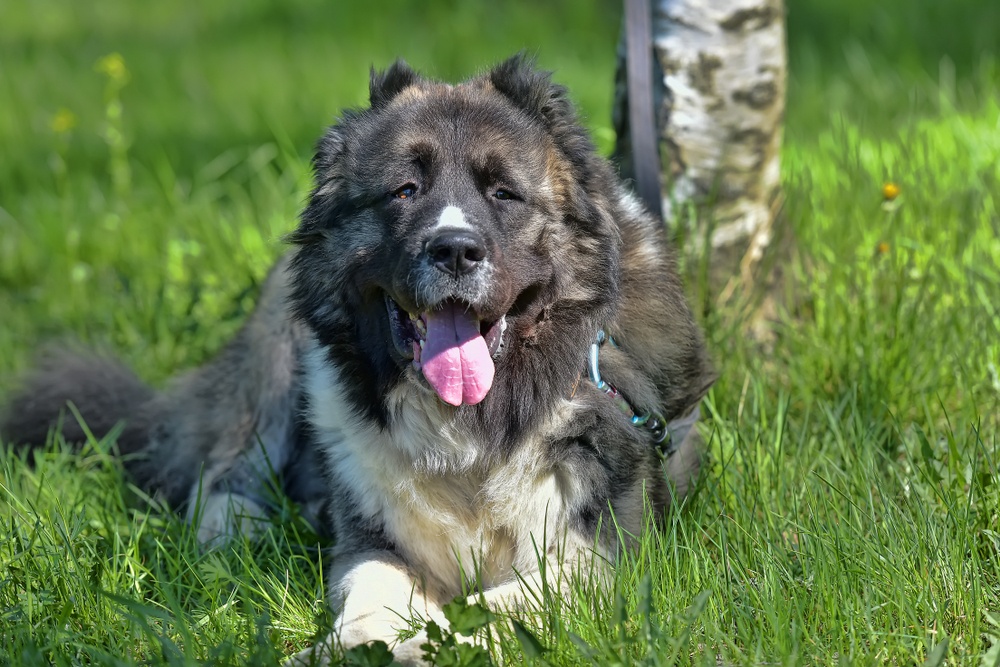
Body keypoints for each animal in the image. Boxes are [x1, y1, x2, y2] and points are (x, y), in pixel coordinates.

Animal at [3, 56, 716, 664]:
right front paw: (353, 646)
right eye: (404, 191)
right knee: (221, 477)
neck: (471, 430)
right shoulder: (376, 539)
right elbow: (372, 592)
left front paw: (419, 648)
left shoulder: (588, 558)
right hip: (273, 356)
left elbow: (491, 610)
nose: (454, 249)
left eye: (504, 194)